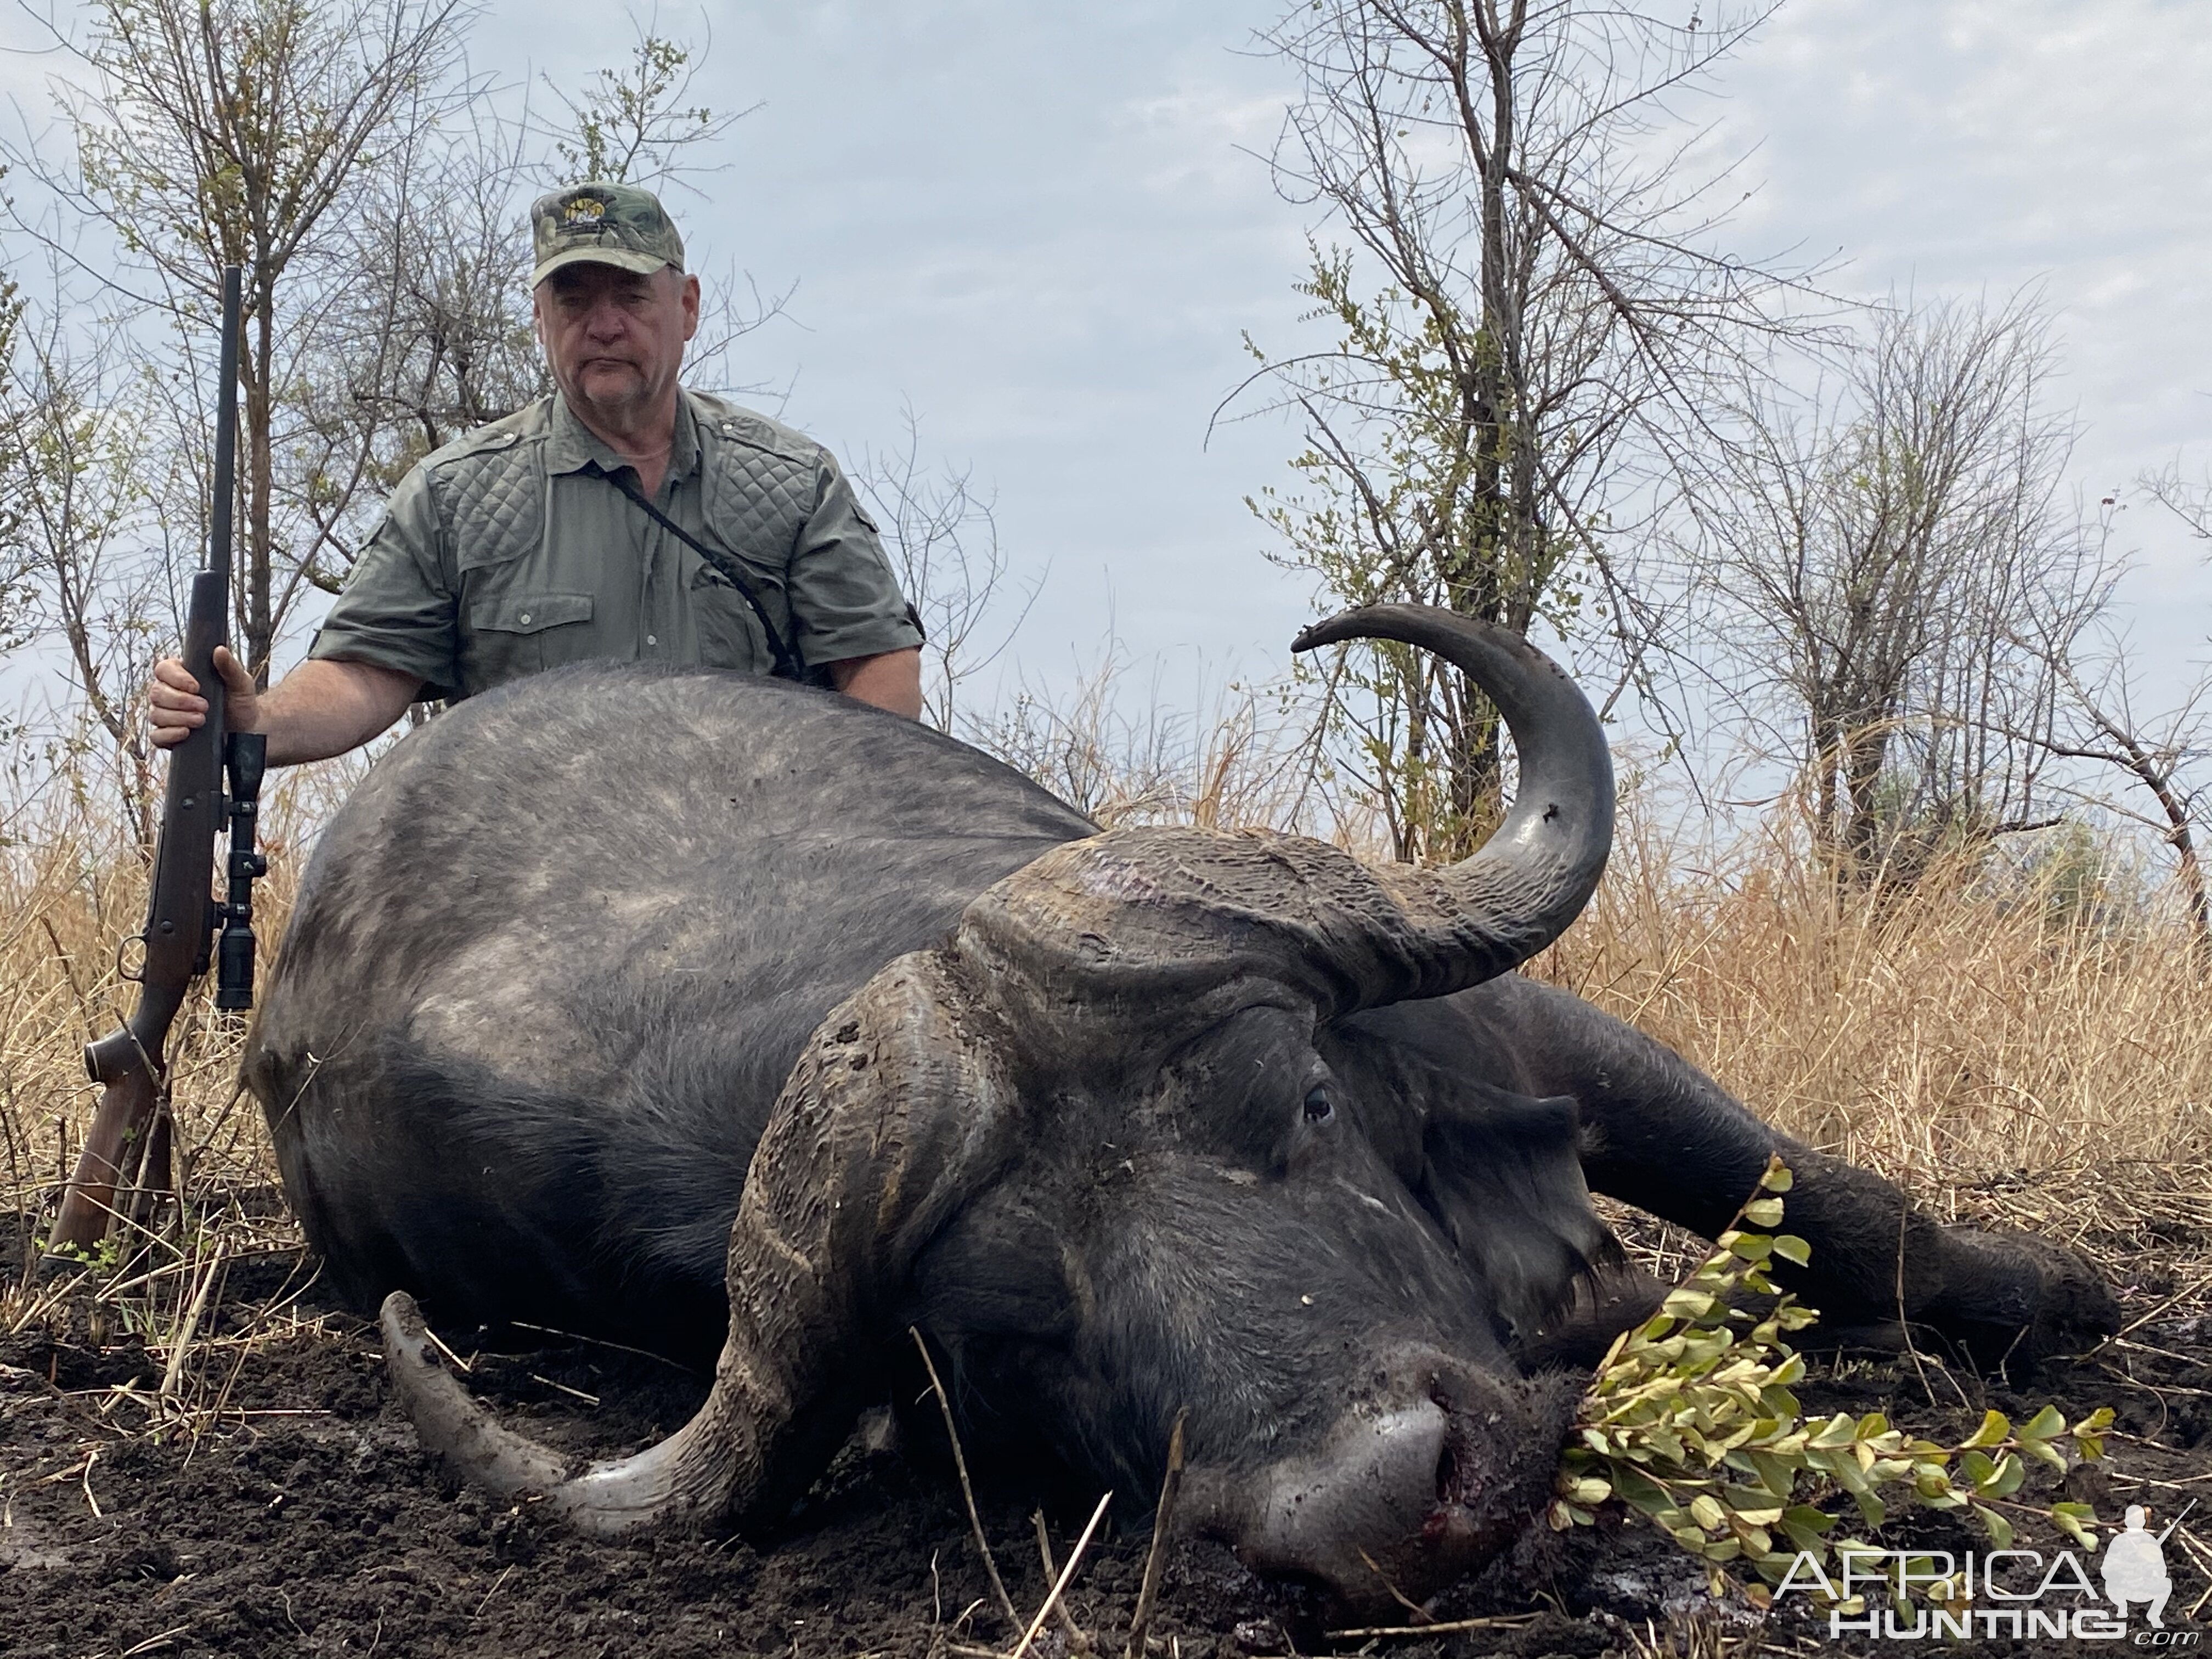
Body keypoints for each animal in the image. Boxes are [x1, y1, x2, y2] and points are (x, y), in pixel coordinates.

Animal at [238, 606, 2106, 1610]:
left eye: (1306, 1101)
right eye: (1002, 1348)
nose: (1383, 1506)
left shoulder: (1535, 1021)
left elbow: (1832, 1198)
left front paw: (2067, 1297)